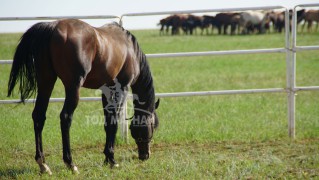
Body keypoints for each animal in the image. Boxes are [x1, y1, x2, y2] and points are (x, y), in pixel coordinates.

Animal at [7, 18, 161, 174]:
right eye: (153, 125)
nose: (145, 155)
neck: (130, 50)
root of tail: (52, 26)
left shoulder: (106, 90)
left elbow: (108, 122)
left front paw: (107, 158)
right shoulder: (122, 87)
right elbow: (114, 122)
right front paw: (112, 159)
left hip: (46, 81)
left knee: (39, 116)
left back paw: (43, 164)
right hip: (73, 87)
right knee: (65, 117)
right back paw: (70, 163)